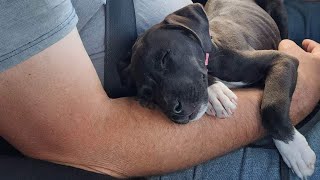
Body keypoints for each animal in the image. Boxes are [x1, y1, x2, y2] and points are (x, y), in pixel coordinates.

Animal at [119, 0, 316, 178]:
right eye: (147, 97)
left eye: (164, 57)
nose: (176, 111)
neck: (212, 58)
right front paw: (216, 94)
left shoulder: (283, 60)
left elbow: (271, 106)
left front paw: (294, 149)